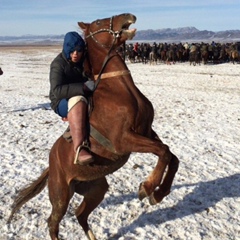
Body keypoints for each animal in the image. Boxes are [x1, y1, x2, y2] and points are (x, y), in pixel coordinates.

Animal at [8, 13, 179, 240]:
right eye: (98, 22)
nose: (129, 16)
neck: (120, 91)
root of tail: (51, 164)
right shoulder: (123, 140)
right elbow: (164, 151)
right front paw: (147, 187)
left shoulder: (147, 131)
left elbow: (171, 156)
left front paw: (158, 194)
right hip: (61, 194)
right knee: (53, 222)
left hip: (96, 188)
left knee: (80, 214)